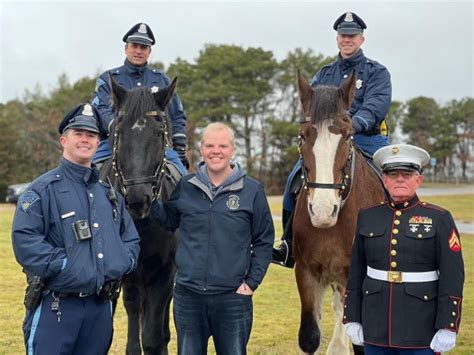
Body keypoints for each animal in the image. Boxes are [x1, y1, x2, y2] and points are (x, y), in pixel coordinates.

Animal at [100, 76, 180, 354]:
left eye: (159, 133)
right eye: (119, 132)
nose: (137, 199)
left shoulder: (163, 274)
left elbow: (153, 338)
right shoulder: (123, 279)